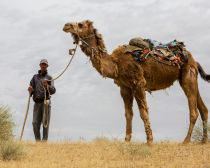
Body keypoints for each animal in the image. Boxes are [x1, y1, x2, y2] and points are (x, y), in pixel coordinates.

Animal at [62, 19, 210, 143]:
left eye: (80, 24)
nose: (66, 25)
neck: (116, 64)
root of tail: (194, 60)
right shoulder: (125, 88)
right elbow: (128, 114)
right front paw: (126, 141)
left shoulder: (139, 83)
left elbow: (143, 113)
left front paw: (149, 141)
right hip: (189, 78)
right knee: (203, 108)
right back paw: (203, 141)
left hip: (188, 76)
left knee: (194, 111)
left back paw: (186, 141)